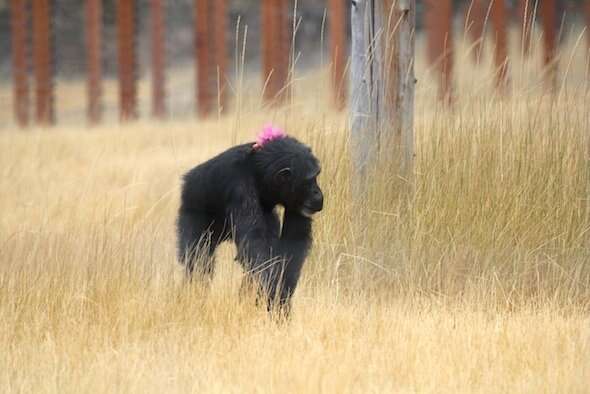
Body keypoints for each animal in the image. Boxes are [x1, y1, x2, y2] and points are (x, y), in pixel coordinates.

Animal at [177, 127, 324, 316]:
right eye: (310, 180)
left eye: (316, 176)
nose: (317, 192)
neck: (259, 175)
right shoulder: (240, 189)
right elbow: (255, 246)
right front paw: (274, 296)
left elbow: (292, 242)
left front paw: (280, 302)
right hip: (192, 208)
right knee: (198, 259)